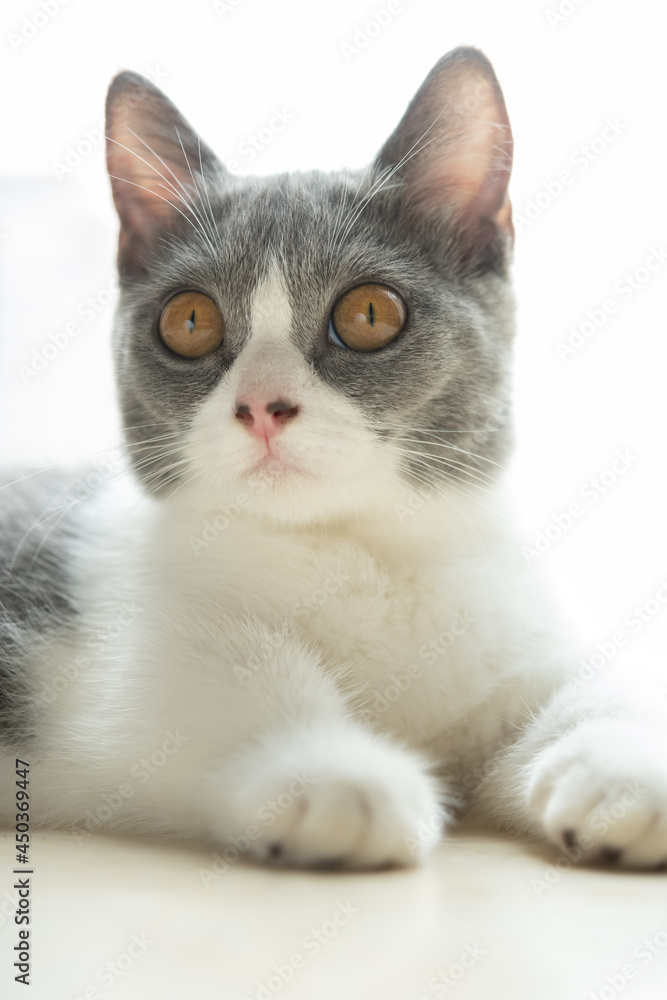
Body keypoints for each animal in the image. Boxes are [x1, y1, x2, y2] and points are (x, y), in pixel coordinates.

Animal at [1, 48, 667, 868]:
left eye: (369, 313)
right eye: (189, 320)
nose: (262, 405)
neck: (357, 547)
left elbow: (574, 683)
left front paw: (620, 764)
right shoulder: (134, 629)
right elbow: (211, 682)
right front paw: (334, 772)